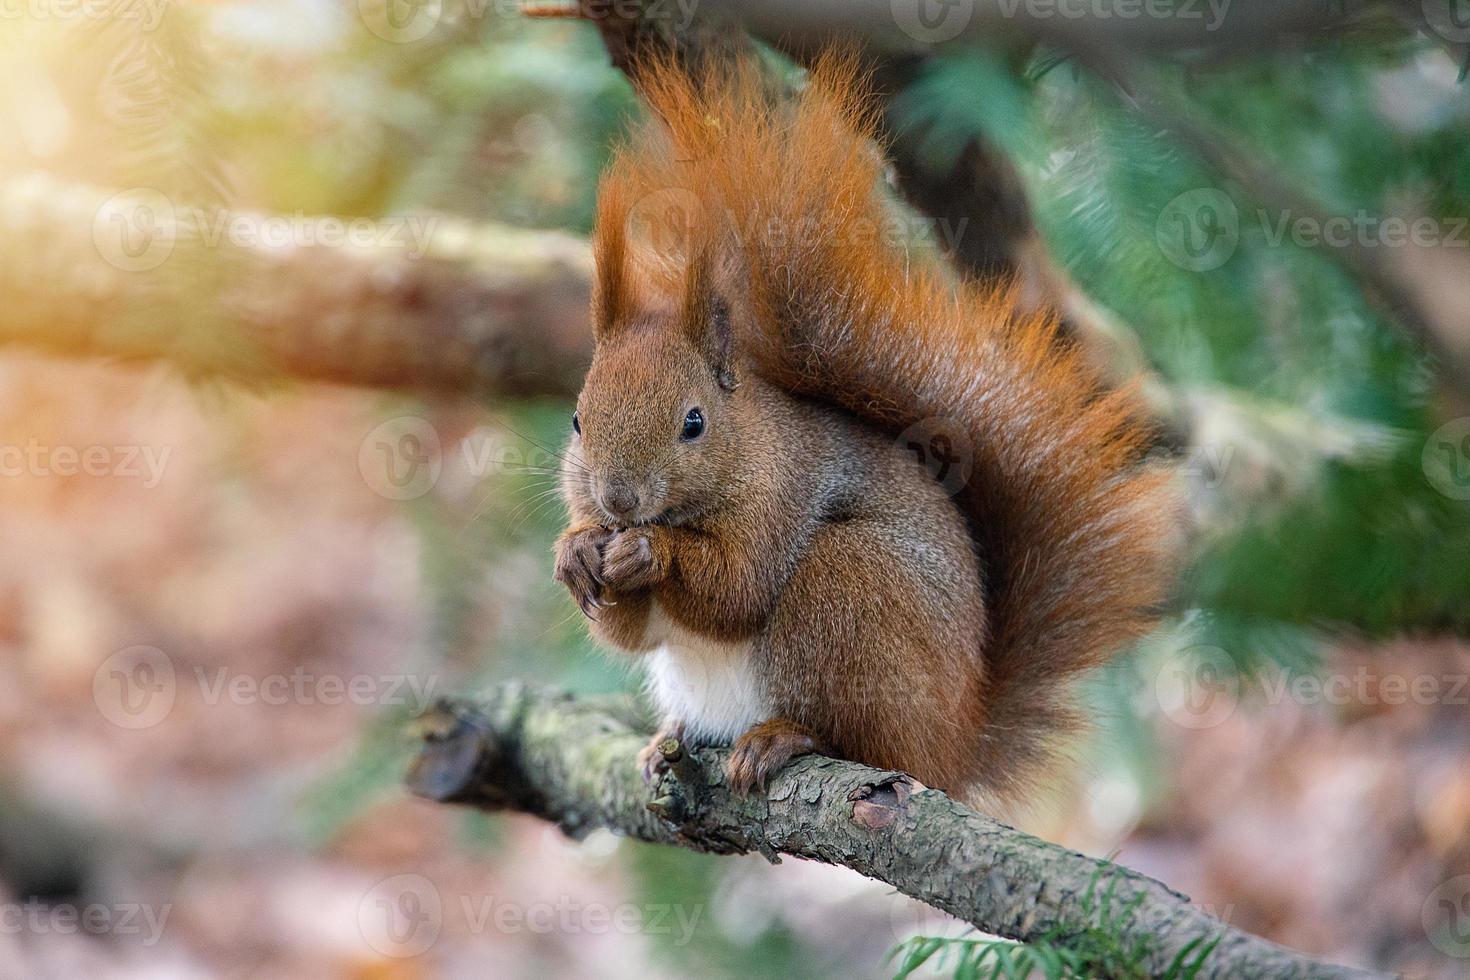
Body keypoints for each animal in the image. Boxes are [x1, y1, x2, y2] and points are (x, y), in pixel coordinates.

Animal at [549, 53, 1170, 811]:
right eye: (577, 419)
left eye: (693, 422)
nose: (619, 500)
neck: (746, 445)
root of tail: (955, 742)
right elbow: (628, 633)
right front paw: (576, 552)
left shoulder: (780, 498)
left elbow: (737, 587)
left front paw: (648, 551)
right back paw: (668, 741)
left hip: (849, 588)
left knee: (864, 738)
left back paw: (784, 737)